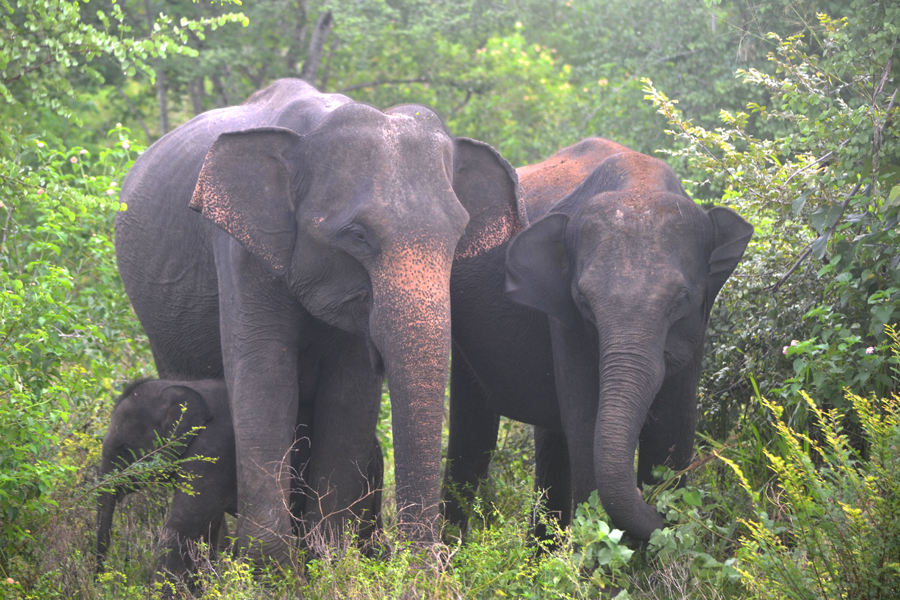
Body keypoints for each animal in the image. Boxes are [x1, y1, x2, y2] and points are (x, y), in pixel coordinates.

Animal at [116, 78, 516, 564]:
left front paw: (330, 561)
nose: (428, 566)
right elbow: (266, 381)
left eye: (458, 237)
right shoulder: (242, 251)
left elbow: (349, 396)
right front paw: (268, 567)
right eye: (357, 235)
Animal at [442, 138, 752, 540]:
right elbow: (588, 421)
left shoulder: (697, 323)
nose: (654, 506)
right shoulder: (565, 319)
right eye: (585, 302)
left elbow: (674, 424)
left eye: (680, 301)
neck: (638, 181)